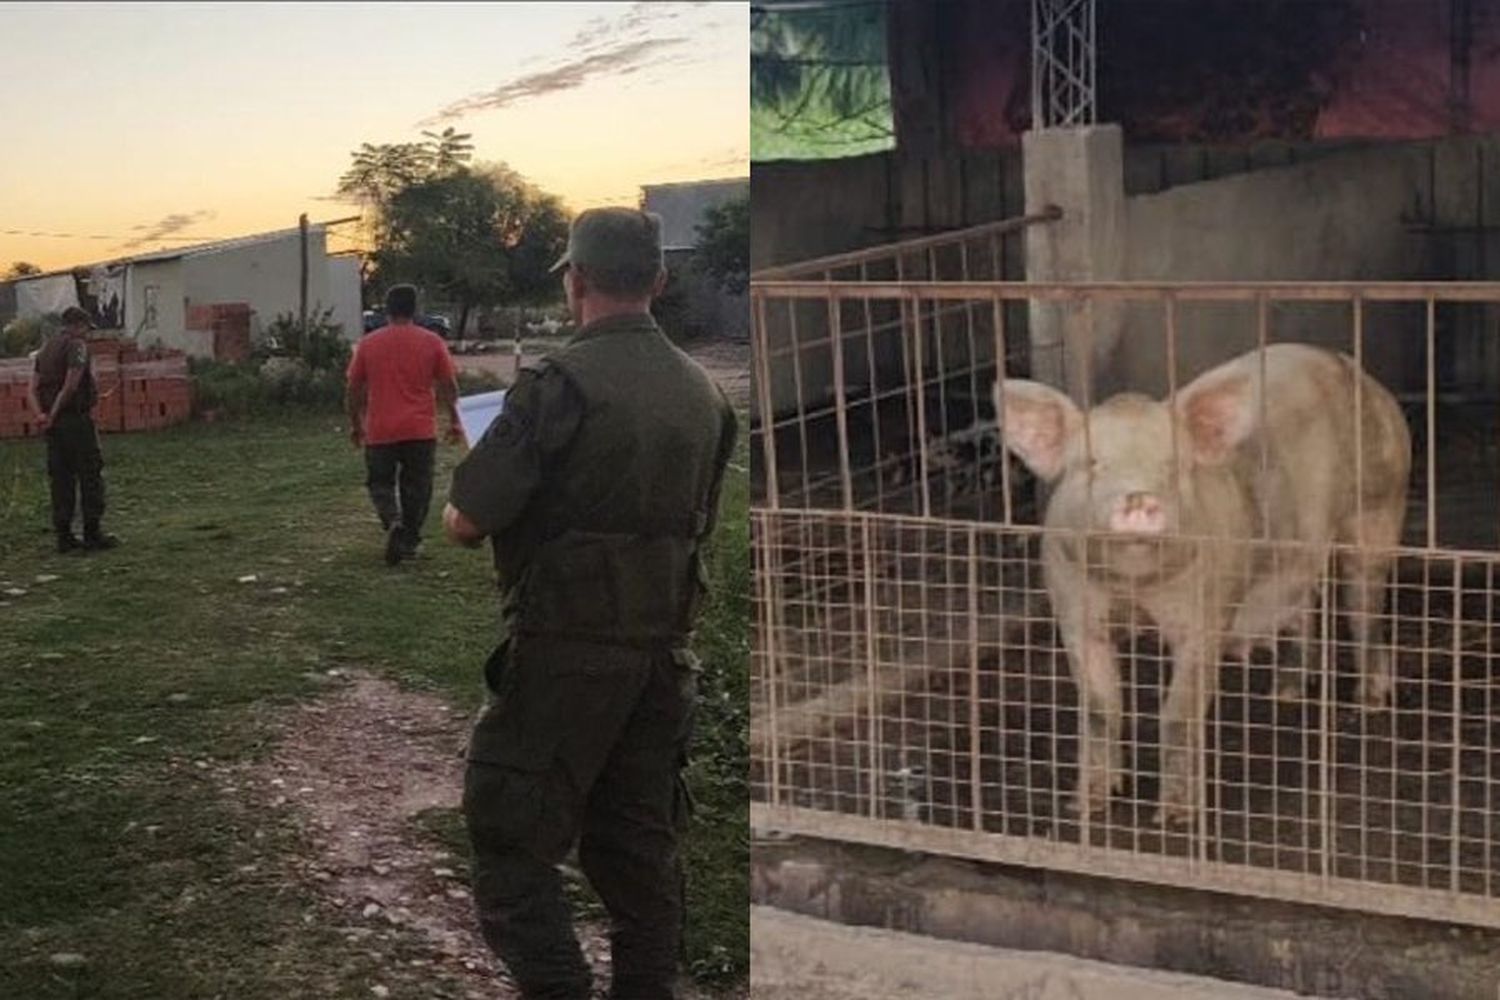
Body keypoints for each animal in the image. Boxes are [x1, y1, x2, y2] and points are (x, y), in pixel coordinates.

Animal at [996, 346, 1404, 827]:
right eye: (1092, 465)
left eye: (1171, 465)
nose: (1139, 499)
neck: (1131, 581)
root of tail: (1353, 369)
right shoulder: (1075, 613)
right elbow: (1099, 710)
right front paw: (1087, 805)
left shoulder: (1204, 615)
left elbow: (1180, 713)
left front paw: (1175, 816)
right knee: (1303, 600)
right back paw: (1284, 693)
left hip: (1378, 509)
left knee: (1365, 609)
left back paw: (1369, 702)